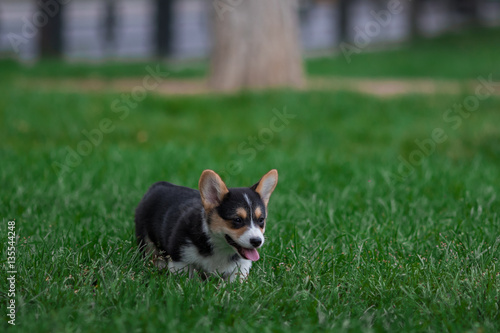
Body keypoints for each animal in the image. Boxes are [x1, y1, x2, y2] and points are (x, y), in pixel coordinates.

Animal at [135, 169, 280, 280]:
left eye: (261, 220)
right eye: (237, 220)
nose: (257, 241)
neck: (219, 246)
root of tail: (158, 185)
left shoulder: (241, 267)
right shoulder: (180, 260)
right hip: (146, 240)